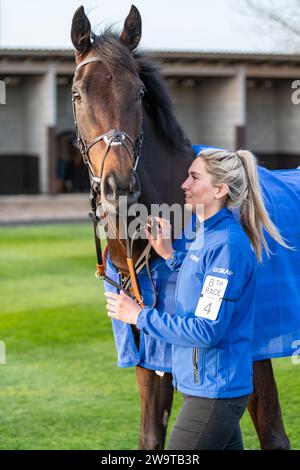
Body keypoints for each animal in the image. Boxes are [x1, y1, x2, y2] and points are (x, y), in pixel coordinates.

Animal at [70, 5, 290, 450]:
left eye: (138, 93)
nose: (119, 186)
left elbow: (273, 434)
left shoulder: (255, 354)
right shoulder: (149, 354)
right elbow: (152, 435)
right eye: (78, 93)